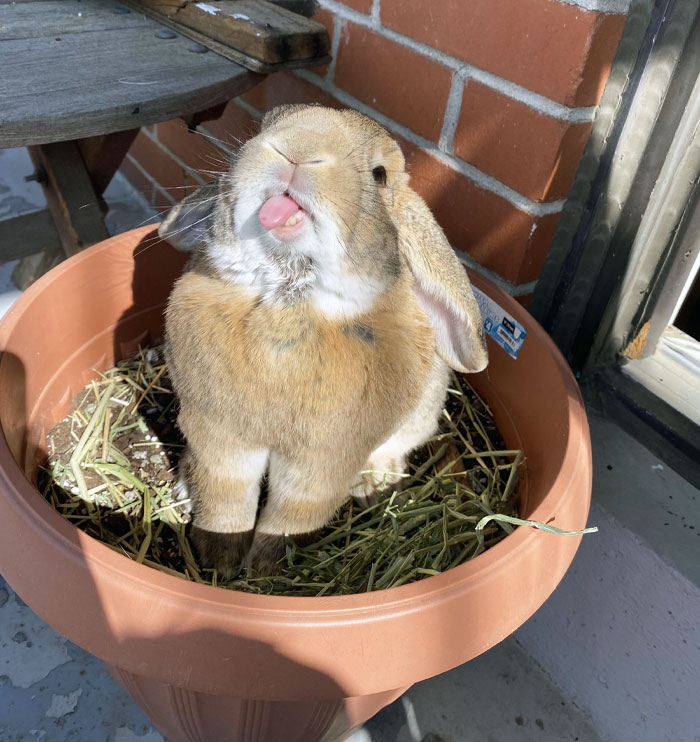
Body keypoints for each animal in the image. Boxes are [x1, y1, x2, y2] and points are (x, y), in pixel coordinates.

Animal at [159, 104, 488, 577]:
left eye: (380, 174)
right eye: (266, 125)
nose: (295, 152)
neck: (287, 299)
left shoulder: (323, 463)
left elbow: (293, 516)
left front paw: (262, 570)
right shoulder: (219, 439)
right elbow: (225, 499)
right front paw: (220, 560)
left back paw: (374, 484)